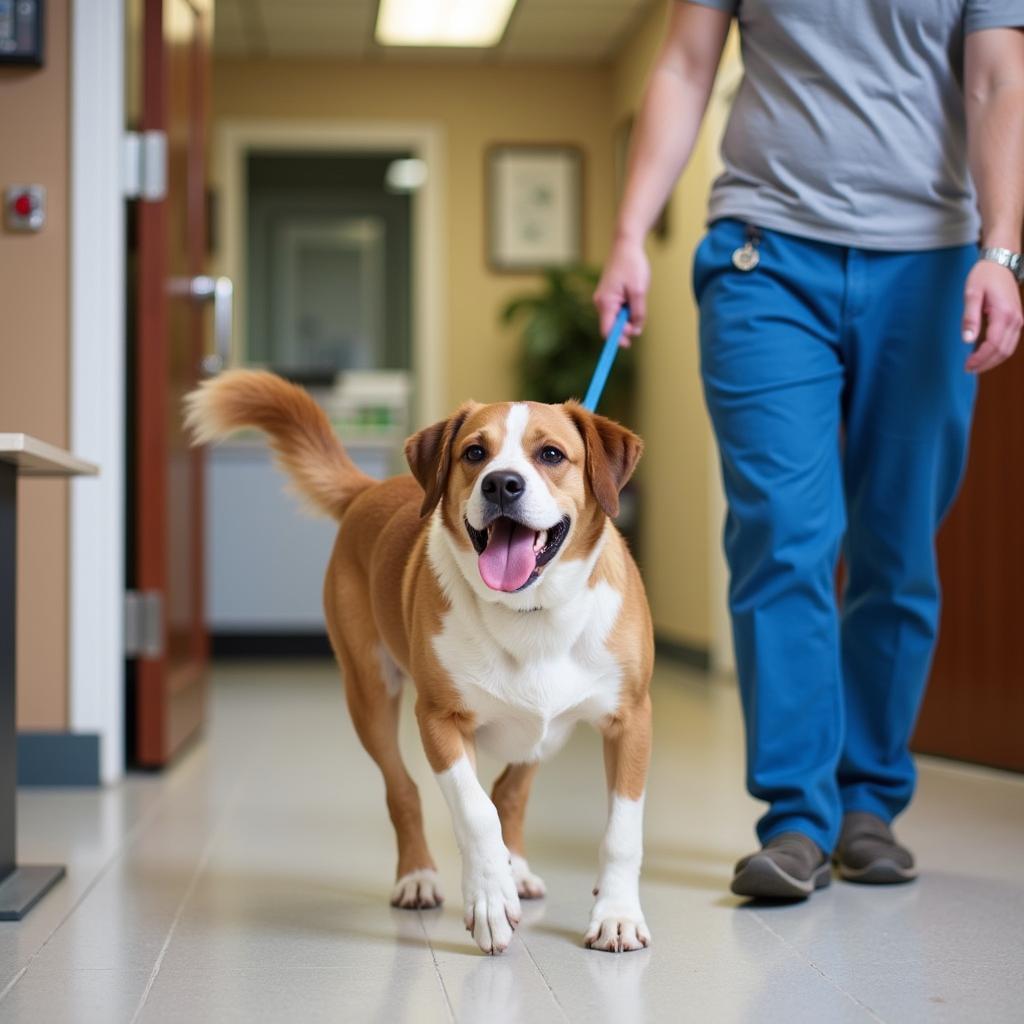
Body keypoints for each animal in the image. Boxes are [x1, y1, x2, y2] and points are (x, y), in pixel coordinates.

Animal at [185, 372, 651, 954]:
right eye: (475, 453)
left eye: (550, 454)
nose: (502, 485)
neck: (531, 614)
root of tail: (369, 490)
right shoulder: (439, 720)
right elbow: (475, 812)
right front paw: (489, 899)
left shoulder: (631, 720)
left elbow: (621, 831)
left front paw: (617, 914)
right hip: (369, 695)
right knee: (404, 790)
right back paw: (420, 877)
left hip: (546, 733)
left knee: (511, 791)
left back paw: (515, 869)